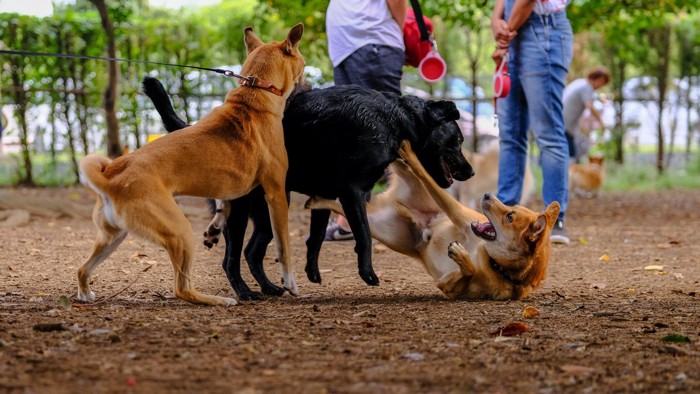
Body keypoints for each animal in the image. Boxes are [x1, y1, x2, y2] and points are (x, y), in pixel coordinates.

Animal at [77, 26, 306, 306]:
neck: (255, 94)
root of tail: (110, 180)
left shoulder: (231, 193)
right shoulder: (275, 194)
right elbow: (284, 247)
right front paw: (290, 283)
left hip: (113, 237)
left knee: (82, 268)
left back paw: (85, 293)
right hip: (180, 232)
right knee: (182, 288)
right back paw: (220, 300)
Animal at [142, 76, 474, 298]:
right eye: (458, 140)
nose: (470, 171)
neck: (394, 118)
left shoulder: (325, 196)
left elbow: (314, 239)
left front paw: (312, 273)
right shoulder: (352, 192)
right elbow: (364, 235)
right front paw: (367, 273)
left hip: (268, 214)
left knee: (252, 253)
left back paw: (270, 287)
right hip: (243, 213)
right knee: (231, 258)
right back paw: (246, 292)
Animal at [308, 143, 560, 300]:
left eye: (509, 216)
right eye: (511, 208)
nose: (488, 195)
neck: (493, 262)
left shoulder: (448, 286)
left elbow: (466, 271)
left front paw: (460, 256)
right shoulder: (460, 216)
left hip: (380, 227)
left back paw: (316, 200)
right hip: (440, 203)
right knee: (413, 169)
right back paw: (404, 148)